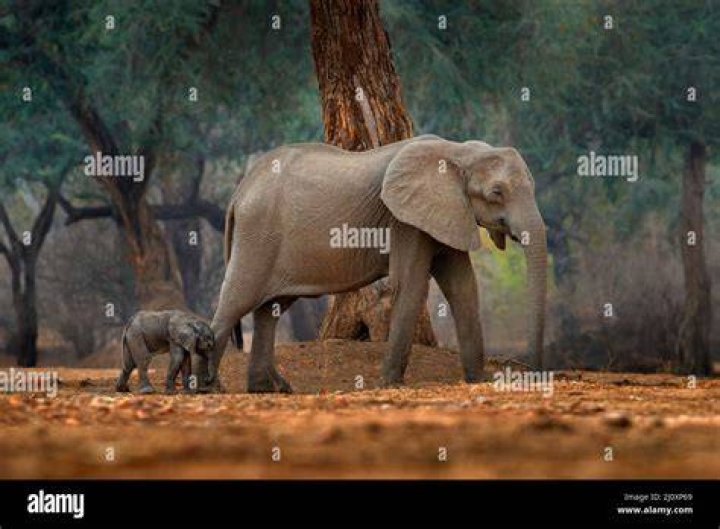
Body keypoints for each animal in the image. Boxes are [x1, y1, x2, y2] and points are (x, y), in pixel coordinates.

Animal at [205, 135, 547, 393]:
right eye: (496, 193)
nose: (533, 374)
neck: (458, 151)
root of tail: (239, 193)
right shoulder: (404, 221)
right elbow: (410, 283)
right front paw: (390, 383)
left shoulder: (448, 213)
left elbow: (462, 286)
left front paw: (478, 380)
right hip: (258, 235)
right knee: (237, 301)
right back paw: (209, 389)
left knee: (269, 309)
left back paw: (269, 389)